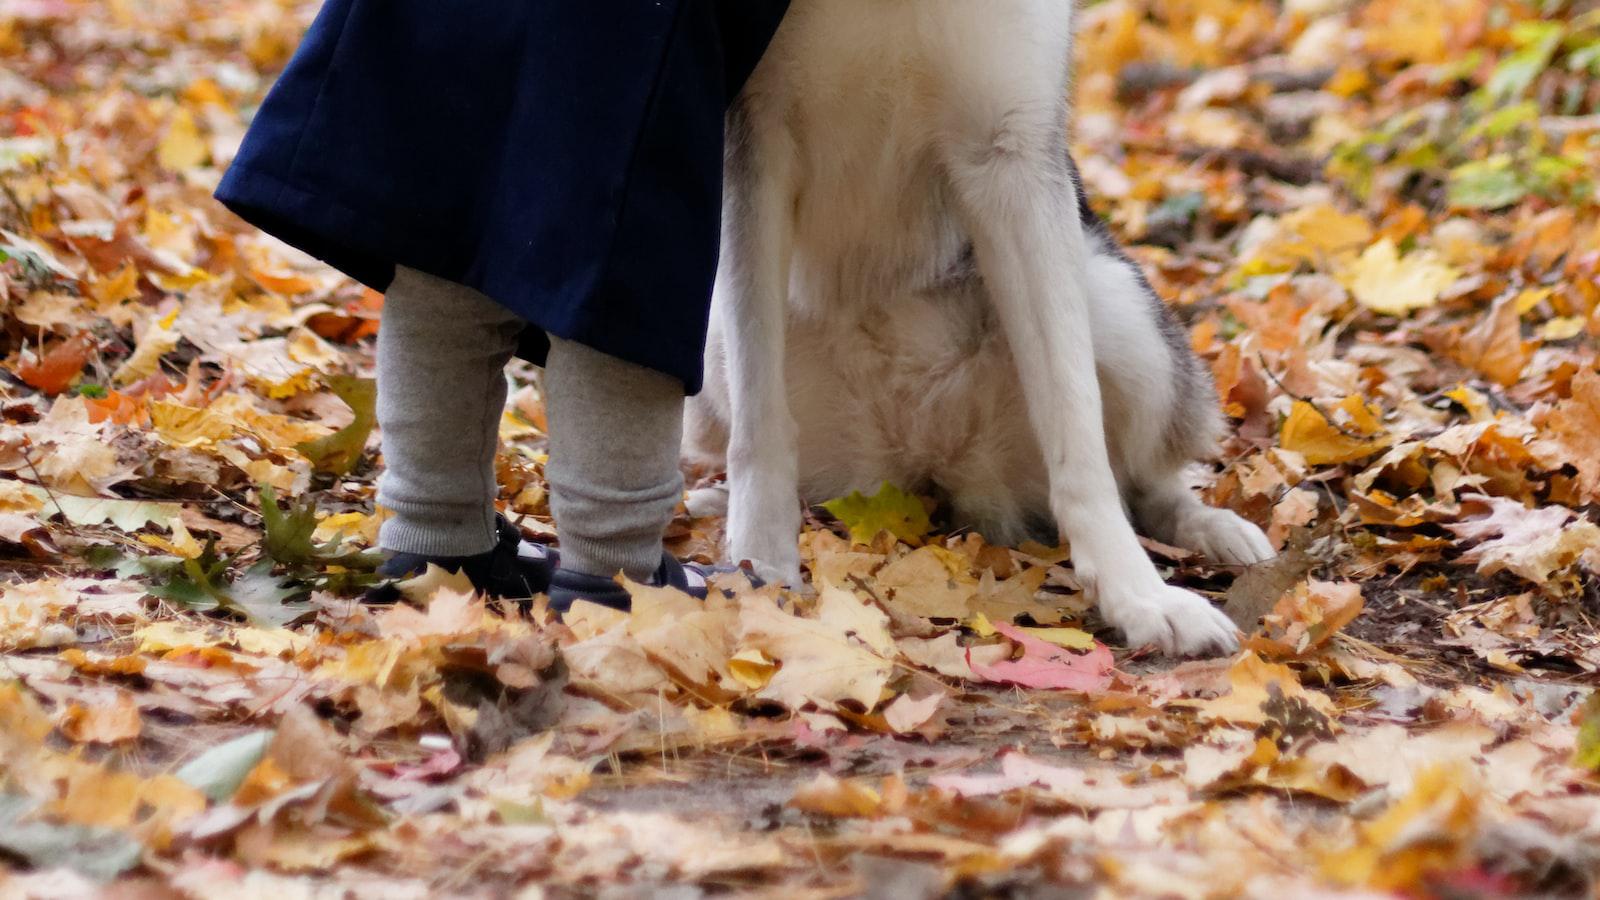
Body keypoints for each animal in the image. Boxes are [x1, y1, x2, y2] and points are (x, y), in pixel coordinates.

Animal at [688, 1, 1273, 659]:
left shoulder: (1010, 151)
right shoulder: (752, 144)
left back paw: (1210, 527)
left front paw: (1139, 596)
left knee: (1147, 480)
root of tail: (926, 460)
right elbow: (759, 425)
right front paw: (758, 574)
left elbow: (1079, 433)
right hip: (711, 341)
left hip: (1120, 310)